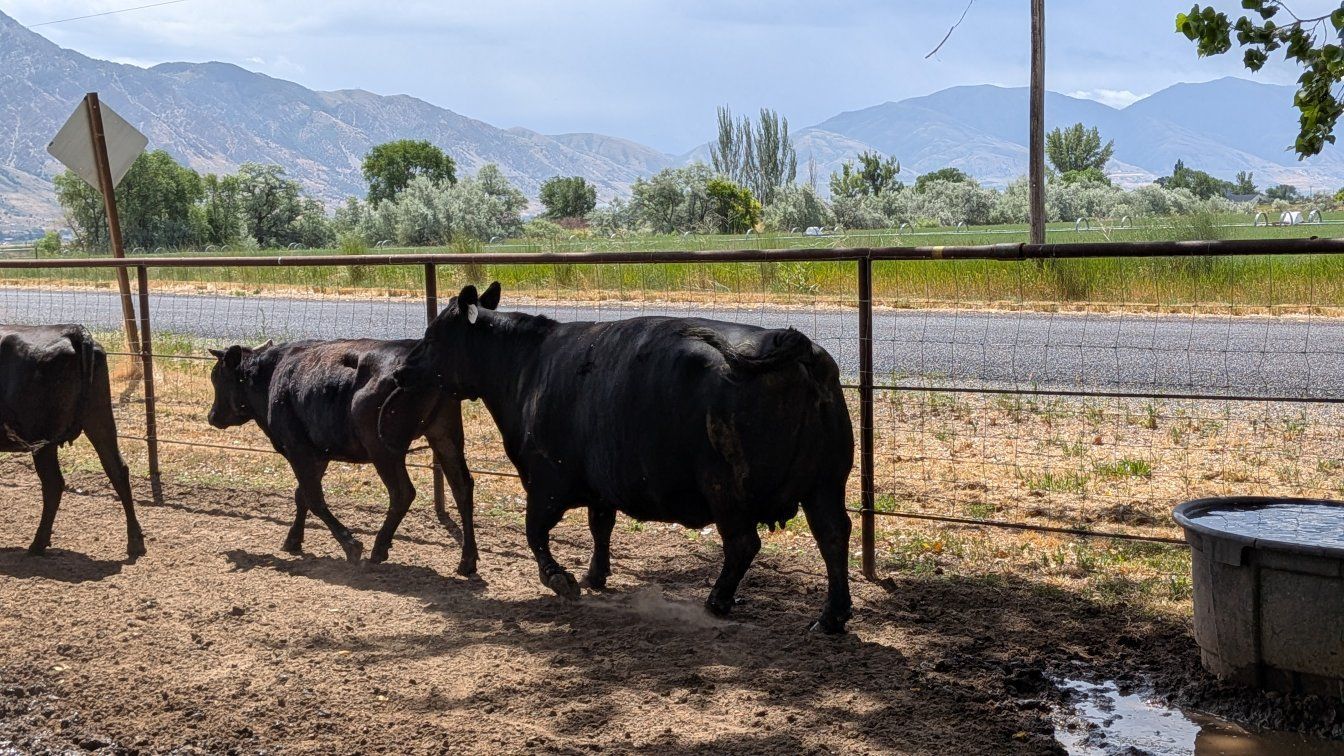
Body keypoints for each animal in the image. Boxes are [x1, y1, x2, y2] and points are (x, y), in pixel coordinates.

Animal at [0, 325, 145, 558]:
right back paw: (135, 542)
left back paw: (37, 544)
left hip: (43, 437)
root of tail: (72, 330)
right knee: (117, 470)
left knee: (53, 483)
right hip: (99, 419)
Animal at [205, 286, 499, 572]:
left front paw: (350, 546)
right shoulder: (318, 451)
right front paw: (293, 540)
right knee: (462, 487)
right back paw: (467, 560)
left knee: (403, 493)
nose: (212, 416)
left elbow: (313, 497)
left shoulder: (297, 448)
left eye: (217, 378)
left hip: (383, 448)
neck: (272, 375)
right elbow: (302, 495)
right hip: (445, 435)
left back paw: (378, 549)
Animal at [391, 284, 855, 633]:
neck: (527, 366)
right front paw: (595, 575)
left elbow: (534, 532)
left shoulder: (545, 480)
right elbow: (600, 527)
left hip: (726, 487)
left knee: (743, 543)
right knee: (833, 537)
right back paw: (831, 618)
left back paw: (717, 602)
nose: (400, 371)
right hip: (826, 484)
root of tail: (790, 341)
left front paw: (561, 579)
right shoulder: (600, 484)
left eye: (433, 337)